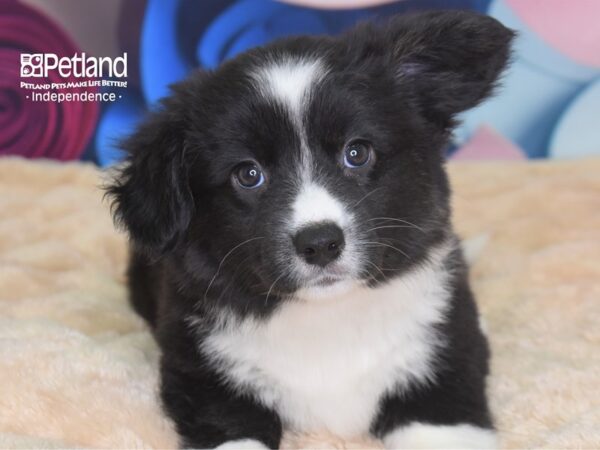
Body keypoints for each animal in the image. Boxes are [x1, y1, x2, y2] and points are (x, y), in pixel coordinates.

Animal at [108, 11, 510, 450]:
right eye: (248, 174)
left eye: (357, 152)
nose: (320, 244)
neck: (326, 316)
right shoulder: (205, 384)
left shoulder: (442, 379)